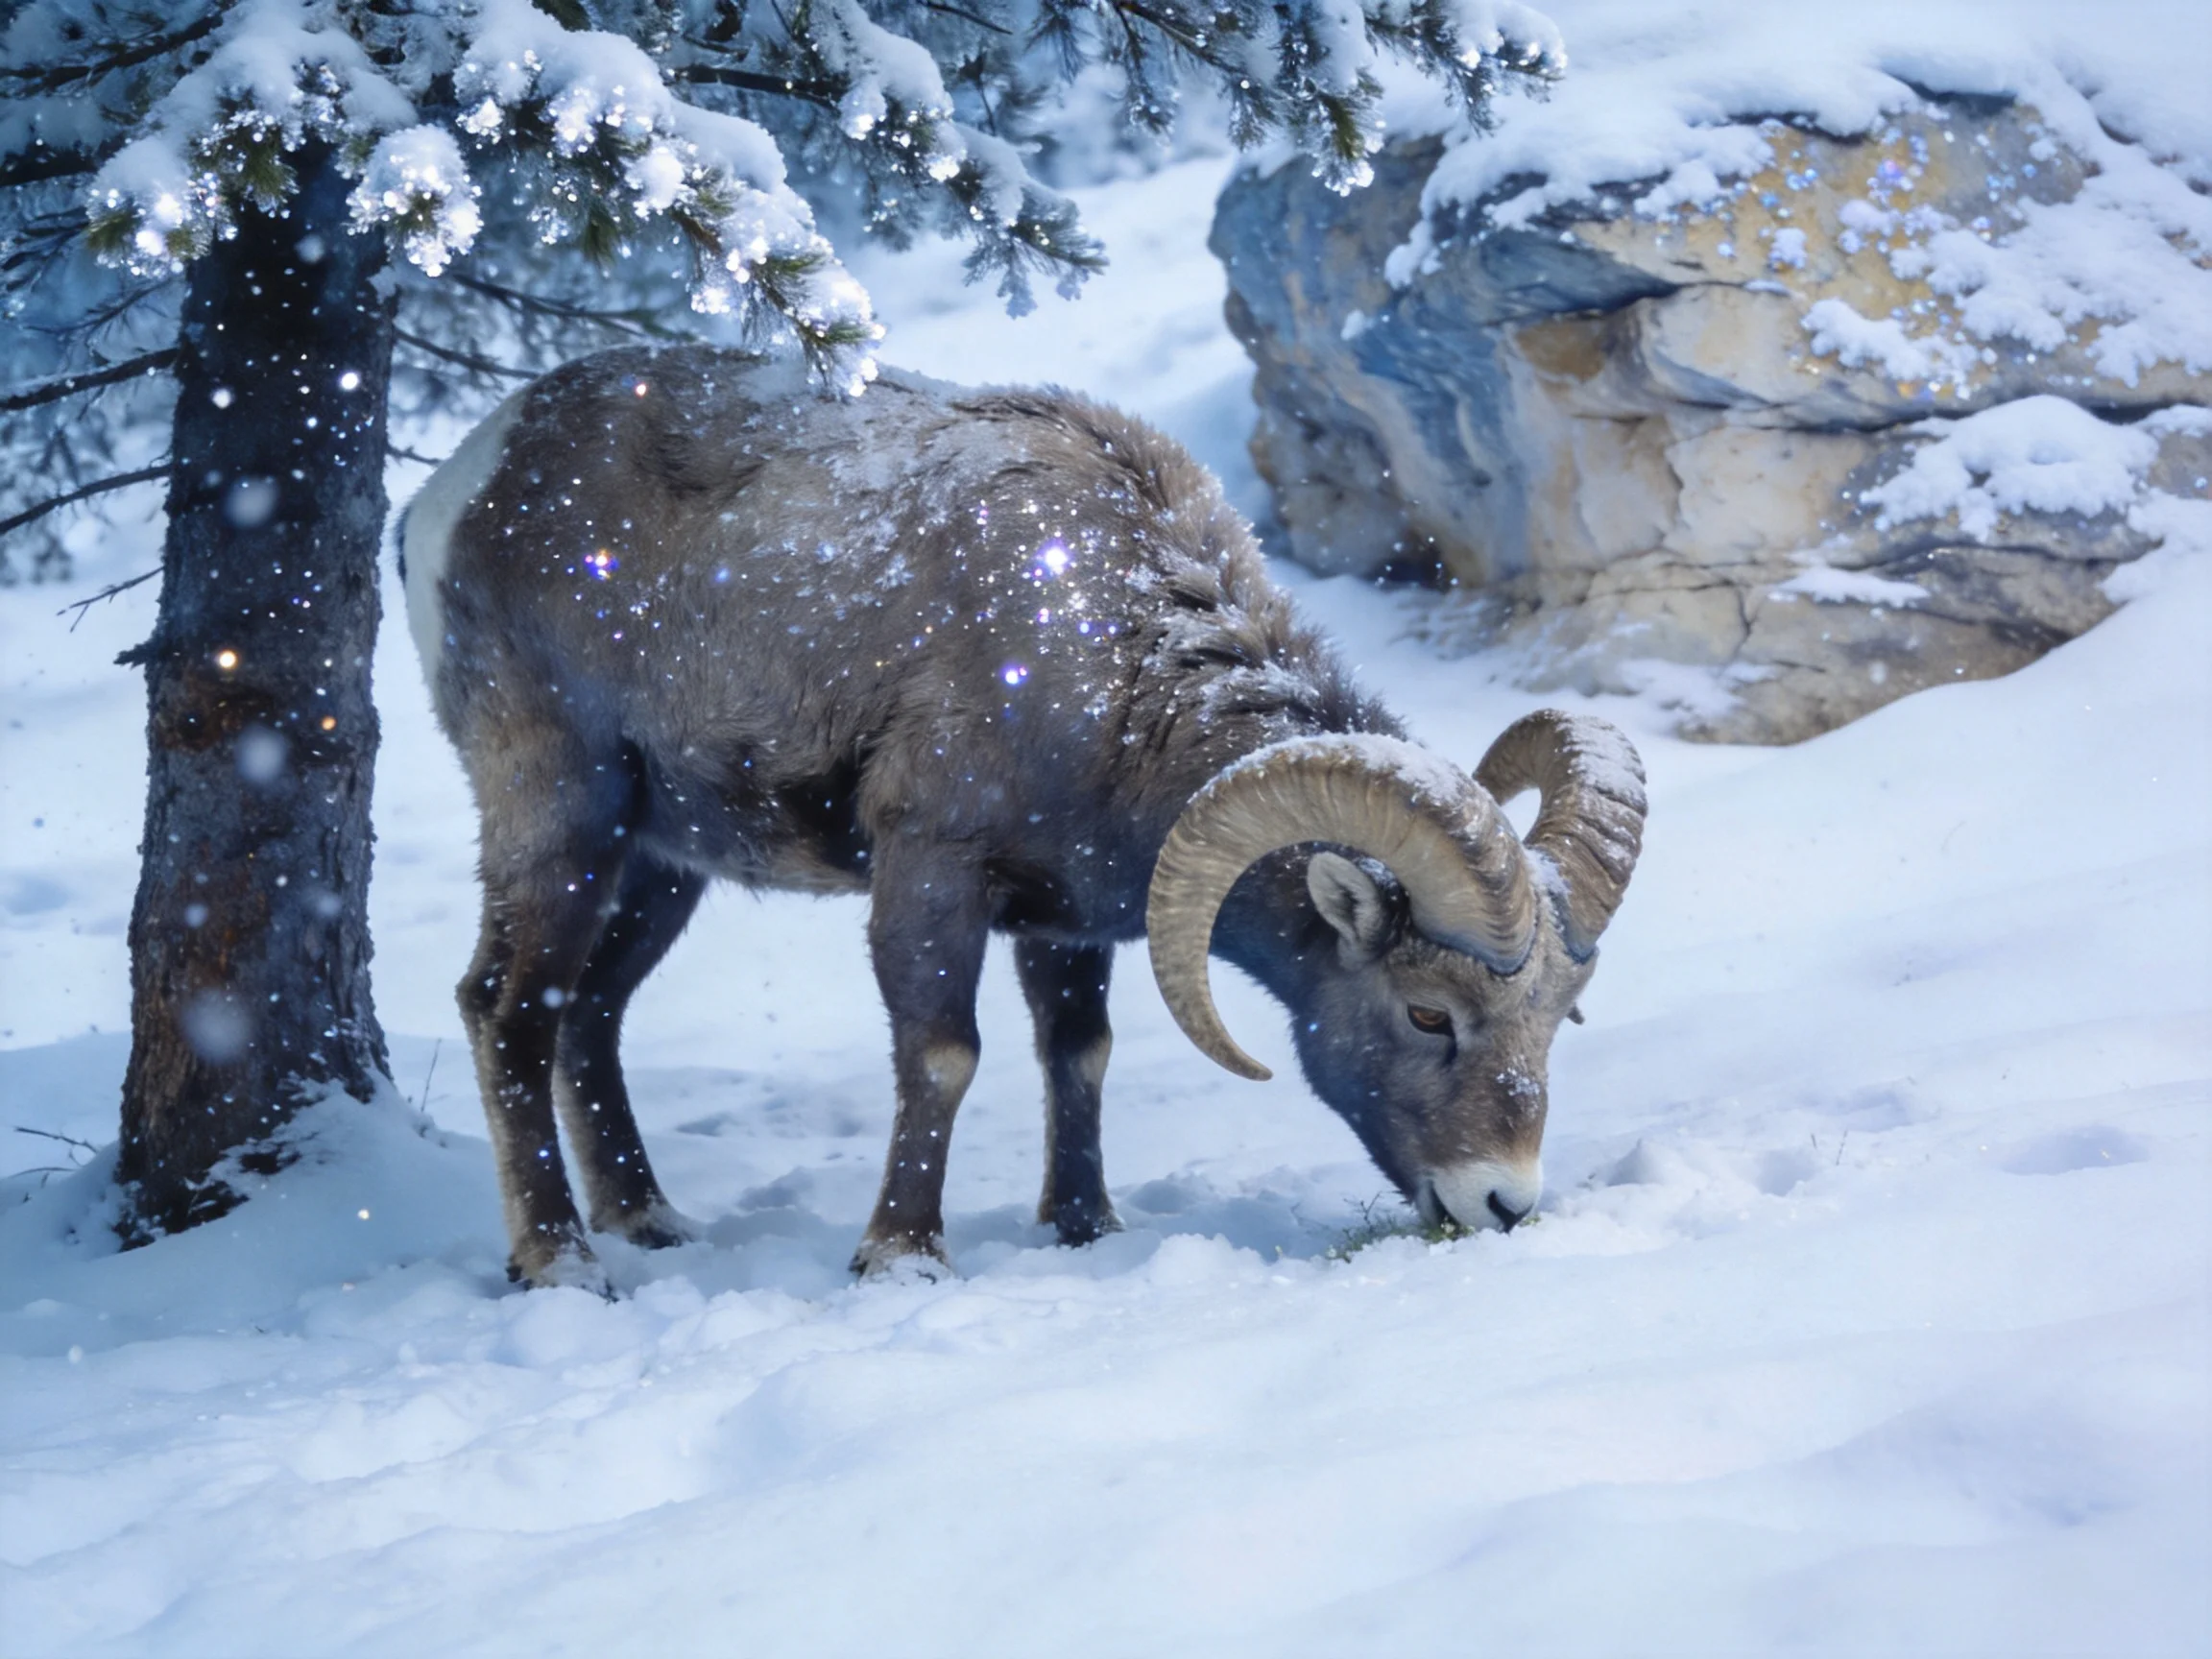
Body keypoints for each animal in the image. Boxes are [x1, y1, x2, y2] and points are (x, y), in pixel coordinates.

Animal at [400, 344, 1646, 1289]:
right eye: (1429, 1014)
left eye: (1562, 1017)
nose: (1503, 1203)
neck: (1115, 649)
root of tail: (458, 490)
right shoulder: (930, 873)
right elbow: (944, 1058)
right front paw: (902, 1256)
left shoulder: (1065, 922)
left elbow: (1078, 1058)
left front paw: (1085, 1228)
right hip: (562, 812)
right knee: (505, 1009)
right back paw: (561, 1264)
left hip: (664, 864)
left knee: (591, 1011)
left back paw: (648, 1222)